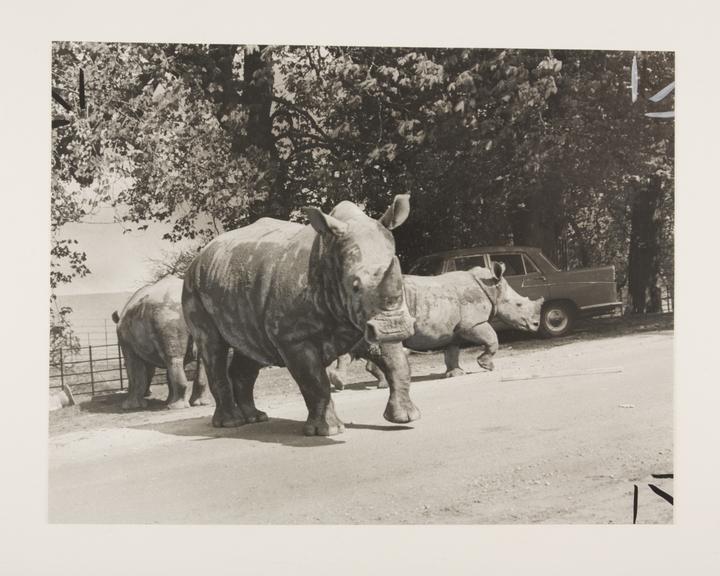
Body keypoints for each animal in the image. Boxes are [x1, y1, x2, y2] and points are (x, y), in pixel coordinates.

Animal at [112, 275, 211, 410]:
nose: (148, 393)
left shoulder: (126, 344)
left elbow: (135, 371)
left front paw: (130, 406)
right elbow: (163, 375)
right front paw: (166, 400)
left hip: (167, 315)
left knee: (173, 359)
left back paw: (175, 407)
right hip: (192, 313)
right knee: (199, 358)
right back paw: (197, 404)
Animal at [182, 195, 419, 436]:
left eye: (400, 276)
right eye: (355, 286)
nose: (396, 327)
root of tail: (199, 257)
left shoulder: (370, 320)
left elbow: (396, 362)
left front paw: (406, 417)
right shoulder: (293, 338)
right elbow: (315, 382)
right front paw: (329, 431)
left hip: (235, 282)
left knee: (250, 349)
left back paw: (256, 417)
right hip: (193, 286)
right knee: (213, 347)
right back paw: (232, 422)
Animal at [328, 262, 543, 389]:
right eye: (519, 305)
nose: (536, 324)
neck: (492, 288)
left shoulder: (453, 330)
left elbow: (452, 351)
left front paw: (454, 374)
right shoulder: (472, 323)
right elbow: (492, 338)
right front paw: (486, 365)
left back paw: (342, 382)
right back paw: (378, 384)